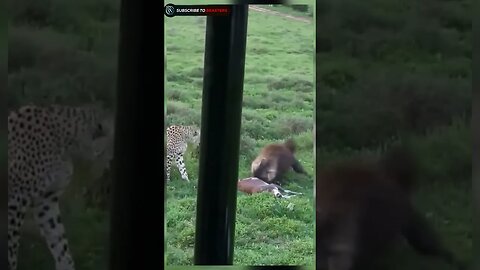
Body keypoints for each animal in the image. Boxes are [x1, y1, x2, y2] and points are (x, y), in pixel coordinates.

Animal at [7, 104, 112, 270]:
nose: (111, 164)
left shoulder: (45, 200)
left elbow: (58, 239)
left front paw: (65, 264)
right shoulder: (16, 197)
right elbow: (10, 248)